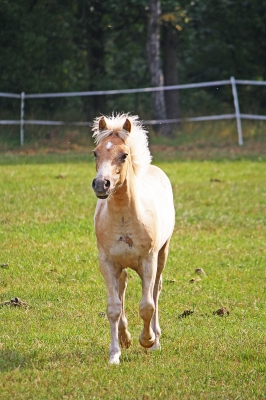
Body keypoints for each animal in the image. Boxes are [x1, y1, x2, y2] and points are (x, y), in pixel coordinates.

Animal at [91, 114, 175, 364]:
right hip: (122, 266)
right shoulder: (107, 262)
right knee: (123, 287)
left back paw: (155, 339)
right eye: (96, 153)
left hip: (162, 255)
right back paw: (125, 336)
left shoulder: (148, 260)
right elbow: (113, 308)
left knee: (156, 290)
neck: (124, 219)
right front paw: (115, 354)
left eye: (124, 155)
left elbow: (147, 306)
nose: (102, 184)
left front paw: (148, 341)